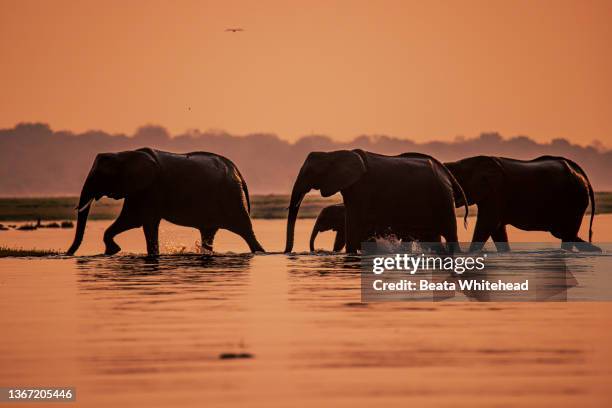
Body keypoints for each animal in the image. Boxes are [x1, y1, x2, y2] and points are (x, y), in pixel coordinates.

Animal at [65, 147, 264, 255]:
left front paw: (114, 250)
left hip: (231, 196)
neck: (124, 154)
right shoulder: (138, 191)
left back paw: (260, 252)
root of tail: (237, 171)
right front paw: (112, 251)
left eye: (100, 176)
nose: (66, 254)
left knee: (245, 230)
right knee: (209, 232)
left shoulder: (150, 189)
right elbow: (133, 220)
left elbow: (142, 221)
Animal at [284, 148, 466, 253]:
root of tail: (447, 173)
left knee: (450, 234)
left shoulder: (362, 190)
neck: (335, 153)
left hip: (442, 199)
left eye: (310, 172)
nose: (288, 253)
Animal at [442, 155, 600, 252]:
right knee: (564, 233)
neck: (464, 163)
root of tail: (582, 174)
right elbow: (497, 229)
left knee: (566, 234)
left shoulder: (496, 192)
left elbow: (488, 223)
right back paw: (596, 250)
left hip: (575, 199)